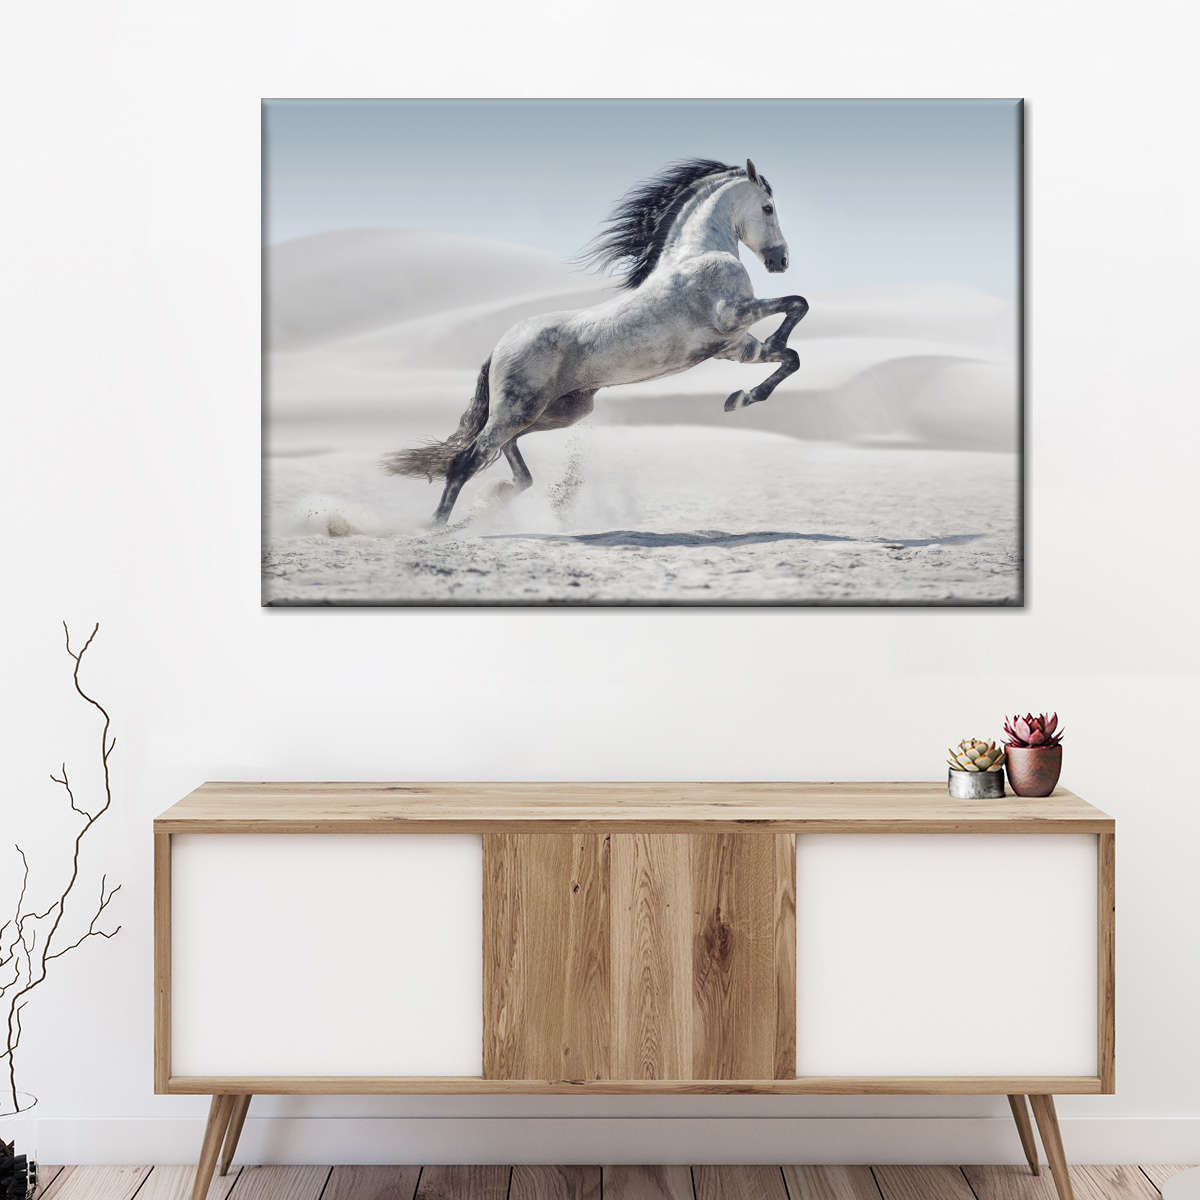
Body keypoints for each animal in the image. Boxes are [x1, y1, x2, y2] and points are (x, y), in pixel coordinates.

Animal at [384, 157, 809, 525]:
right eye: (768, 207)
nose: (781, 261)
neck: (698, 254)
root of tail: (500, 346)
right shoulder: (732, 314)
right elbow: (797, 304)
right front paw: (750, 382)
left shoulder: (734, 347)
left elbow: (790, 356)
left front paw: (739, 398)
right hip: (519, 409)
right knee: (467, 460)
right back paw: (437, 526)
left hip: (557, 411)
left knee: (508, 453)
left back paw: (496, 498)